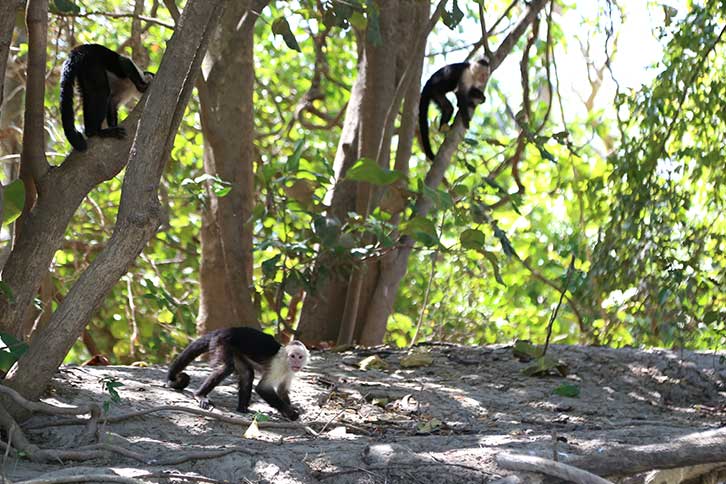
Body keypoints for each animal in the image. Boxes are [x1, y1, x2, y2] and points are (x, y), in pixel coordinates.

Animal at [168, 328, 310, 420]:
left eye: (300, 357)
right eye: (292, 356)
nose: (296, 361)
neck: (286, 363)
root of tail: (222, 330)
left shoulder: (290, 372)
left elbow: (282, 390)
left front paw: (288, 410)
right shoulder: (278, 366)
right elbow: (262, 388)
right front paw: (290, 413)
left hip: (236, 352)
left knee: (247, 374)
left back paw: (242, 408)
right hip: (222, 343)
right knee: (226, 368)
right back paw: (200, 395)